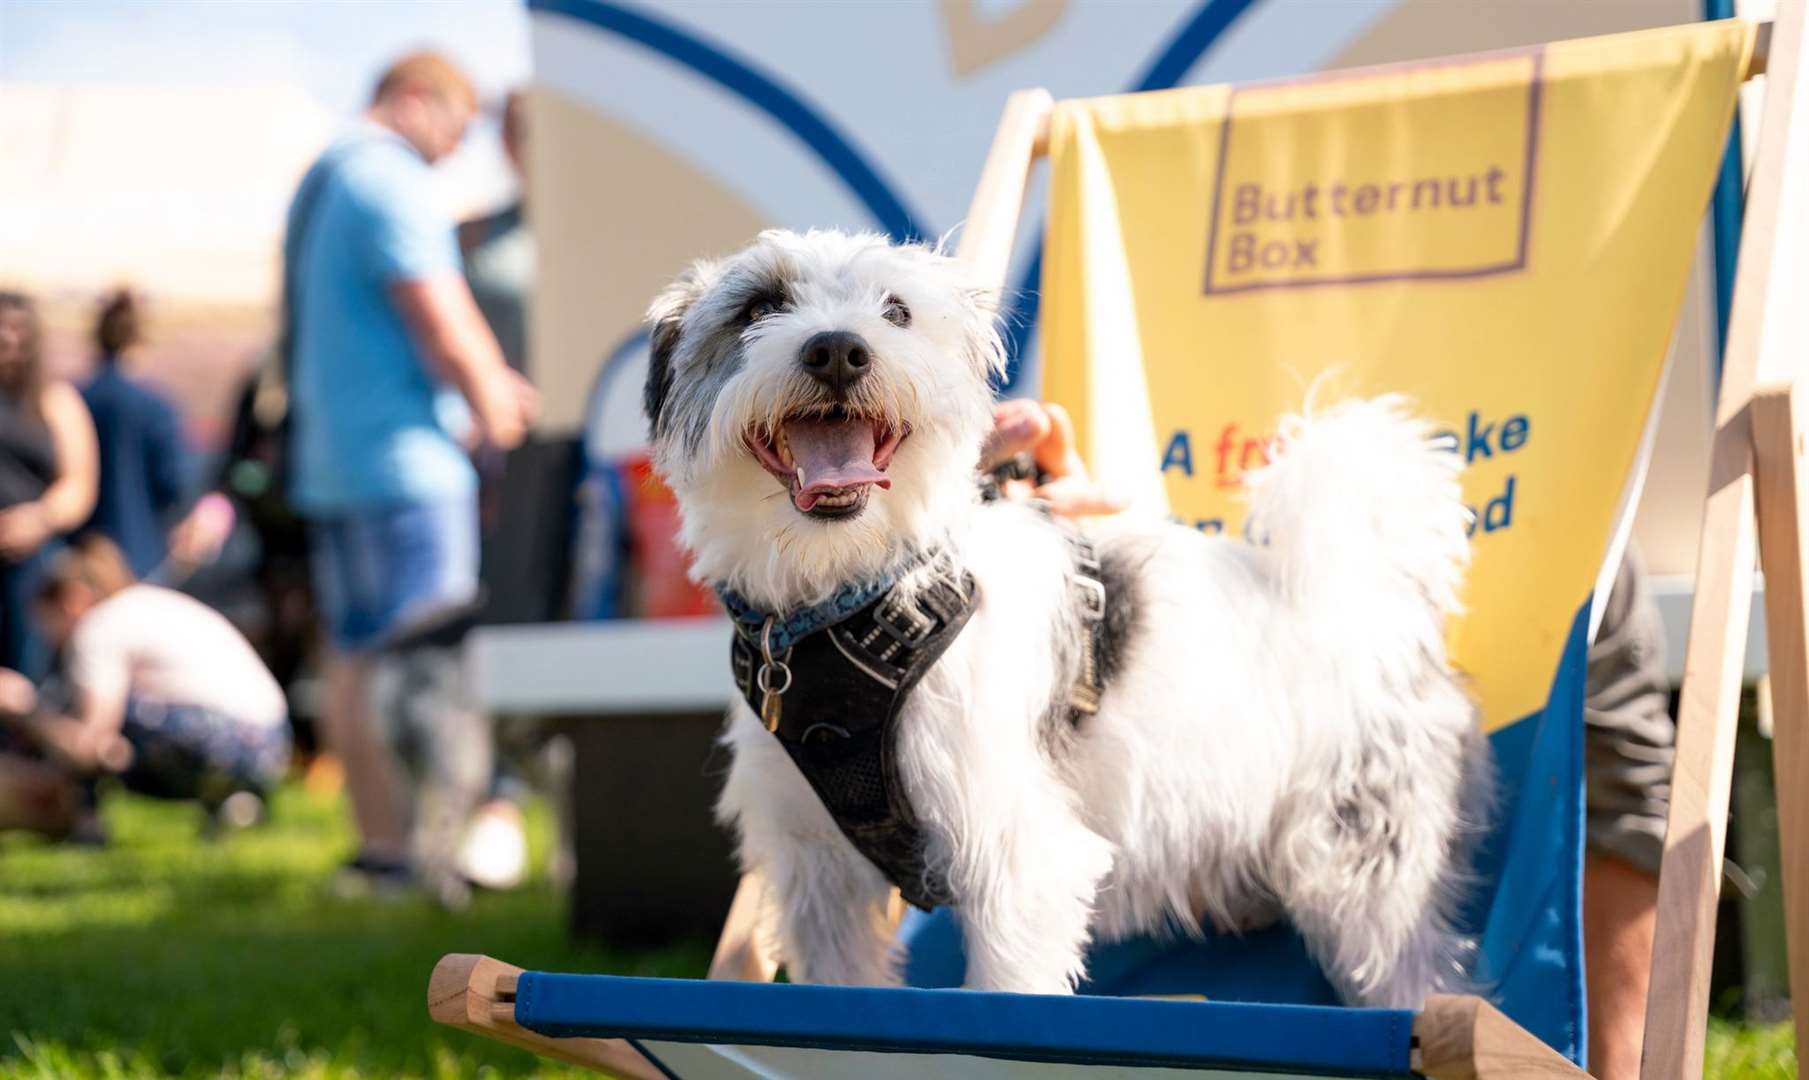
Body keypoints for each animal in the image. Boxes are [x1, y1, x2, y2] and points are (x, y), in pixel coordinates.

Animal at [644, 227, 1490, 1005]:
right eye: (759, 307)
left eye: (896, 311)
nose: (837, 351)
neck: (854, 600)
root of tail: (1364, 597)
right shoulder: (815, 870)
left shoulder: (1016, 856)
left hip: (1369, 870)